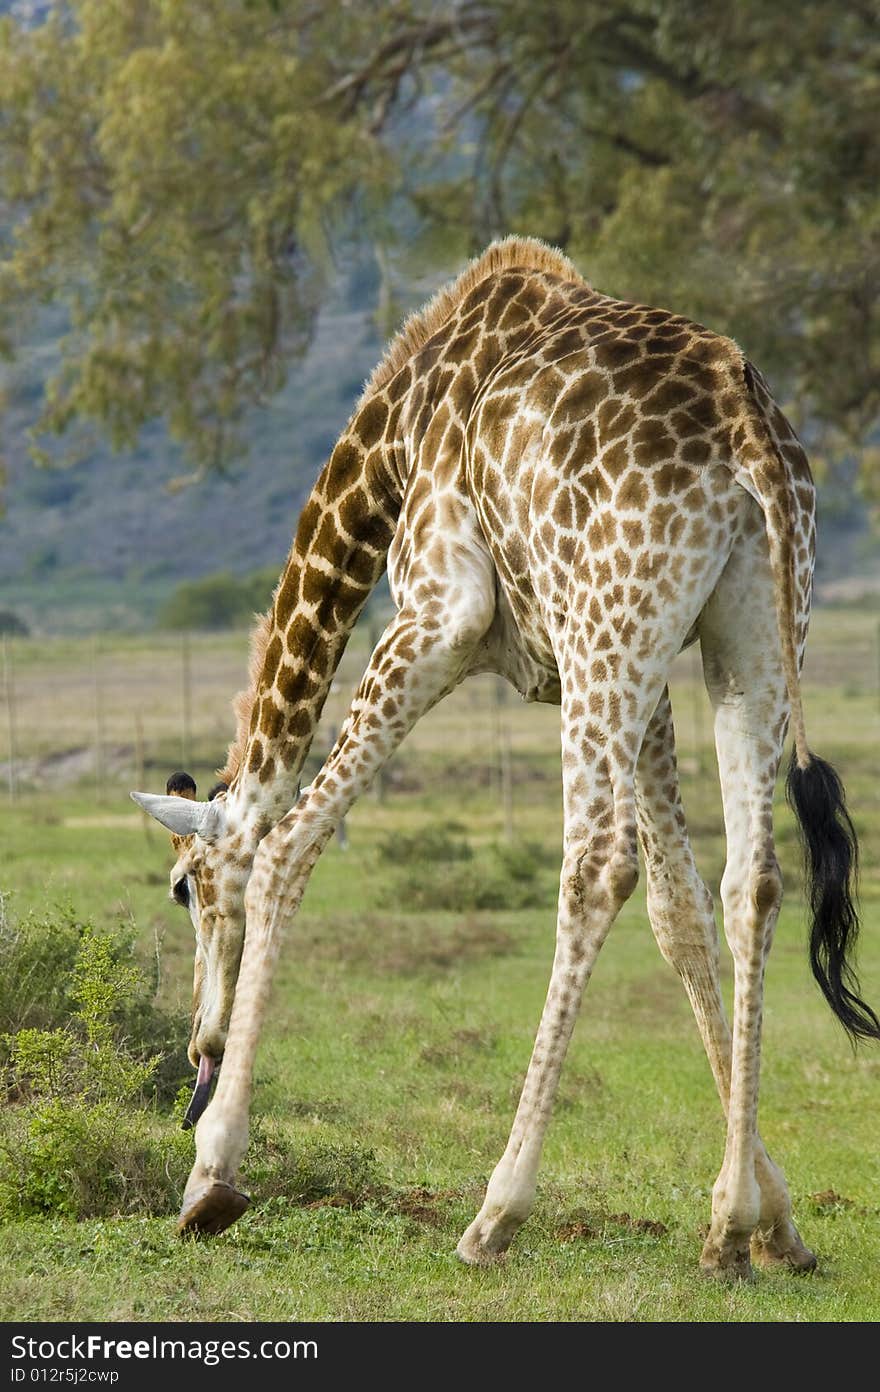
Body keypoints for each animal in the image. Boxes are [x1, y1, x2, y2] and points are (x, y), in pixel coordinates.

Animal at [132, 233, 880, 1275]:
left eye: (183, 890)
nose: (198, 1058)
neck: (395, 439)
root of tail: (747, 426)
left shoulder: (440, 617)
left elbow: (286, 849)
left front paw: (210, 1175)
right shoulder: (647, 686)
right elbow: (680, 913)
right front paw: (772, 1218)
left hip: (613, 627)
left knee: (594, 869)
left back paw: (496, 1214)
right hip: (744, 633)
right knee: (754, 881)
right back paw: (727, 1228)